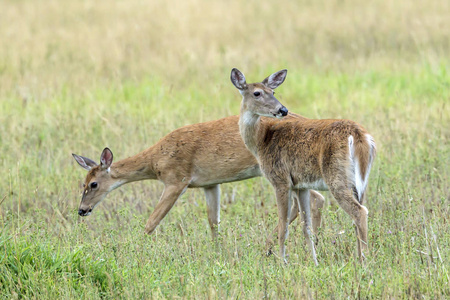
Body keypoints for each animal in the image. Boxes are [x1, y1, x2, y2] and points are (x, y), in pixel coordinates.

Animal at [72, 115, 326, 239]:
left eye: (93, 184)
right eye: (81, 184)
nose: (82, 210)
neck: (155, 161)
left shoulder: (176, 180)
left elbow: (151, 222)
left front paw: (136, 249)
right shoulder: (210, 184)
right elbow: (213, 222)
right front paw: (218, 253)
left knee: (314, 199)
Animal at [230, 68, 374, 264]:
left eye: (273, 92)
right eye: (257, 93)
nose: (283, 110)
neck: (261, 141)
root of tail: (359, 135)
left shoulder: (280, 180)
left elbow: (283, 225)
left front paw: (282, 262)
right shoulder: (301, 185)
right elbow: (306, 227)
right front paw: (314, 262)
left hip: (337, 177)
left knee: (360, 212)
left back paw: (364, 262)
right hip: (360, 184)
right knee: (357, 214)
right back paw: (359, 259)